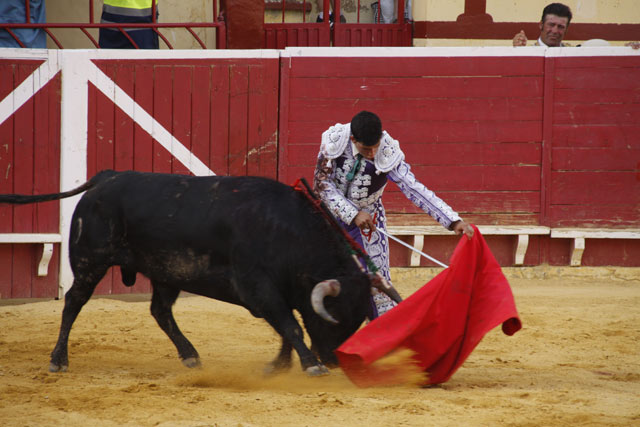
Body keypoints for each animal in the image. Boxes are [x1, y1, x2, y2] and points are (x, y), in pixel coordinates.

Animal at [0, 172, 400, 376]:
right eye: (335, 318)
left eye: (357, 320)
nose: (333, 360)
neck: (286, 230)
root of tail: (105, 178)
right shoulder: (259, 286)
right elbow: (291, 326)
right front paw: (310, 365)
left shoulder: (278, 293)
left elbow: (287, 327)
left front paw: (280, 364)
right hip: (89, 261)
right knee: (73, 302)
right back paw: (58, 360)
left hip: (166, 272)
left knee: (160, 311)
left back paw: (189, 355)